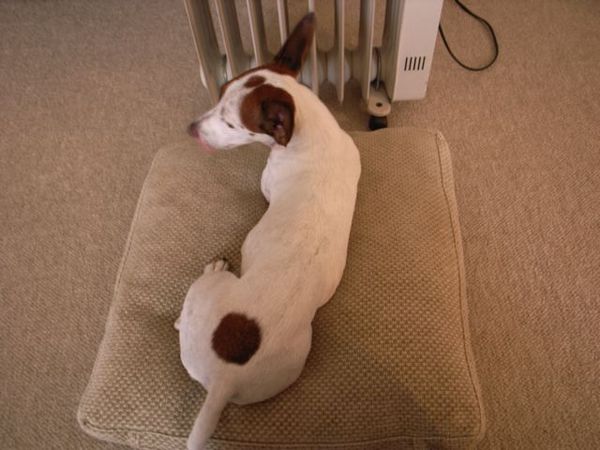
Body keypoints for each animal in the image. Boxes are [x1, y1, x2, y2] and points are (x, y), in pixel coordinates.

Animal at [177, 13, 361, 449]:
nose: (191, 128)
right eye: (220, 91)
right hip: (293, 361)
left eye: (232, 124)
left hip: (208, 293)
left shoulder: (267, 181)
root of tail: (225, 380)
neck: (309, 131)